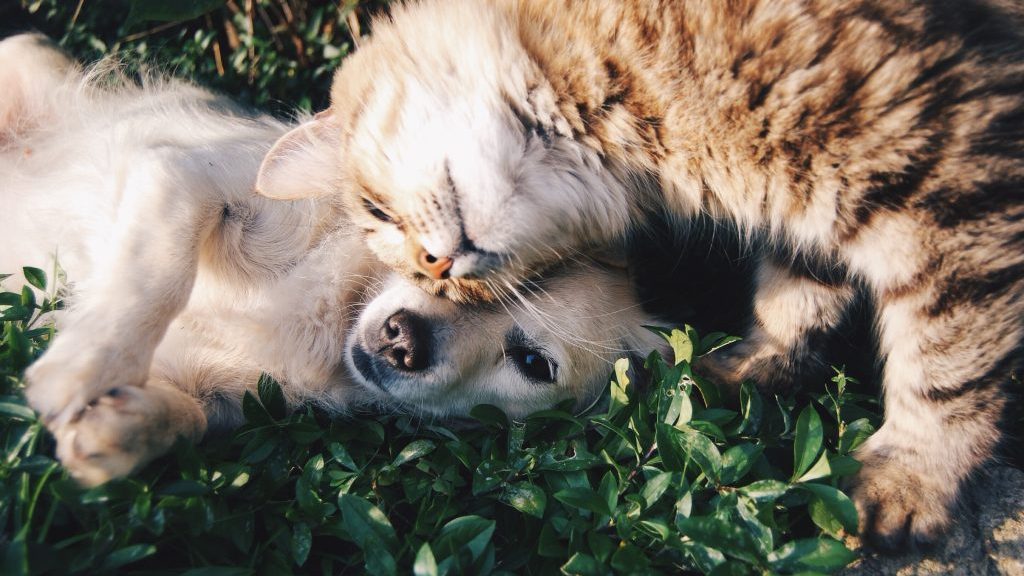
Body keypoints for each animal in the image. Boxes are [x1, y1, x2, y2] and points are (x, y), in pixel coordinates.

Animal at [0, 33, 667, 483]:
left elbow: (187, 418)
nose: (403, 340)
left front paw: (120, 429)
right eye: (436, 261)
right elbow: (155, 276)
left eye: (533, 363)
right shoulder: (184, 177)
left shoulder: (223, 396)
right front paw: (83, 367)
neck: (334, 313)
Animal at [253, 0, 1024, 545]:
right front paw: (754, 366)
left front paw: (911, 478)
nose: (438, 268)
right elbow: (795, 298)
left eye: (377, 210)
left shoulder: (949, 185)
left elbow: (946, 366)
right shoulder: (816, 208)